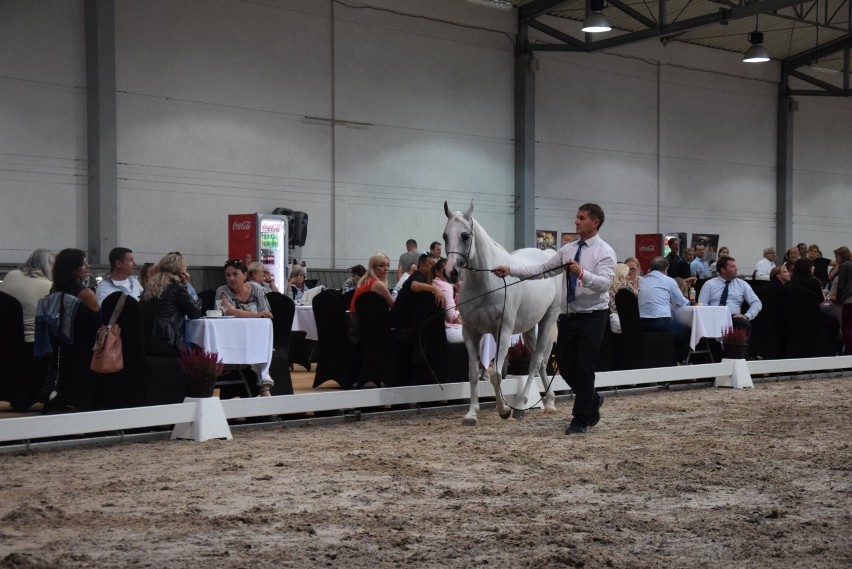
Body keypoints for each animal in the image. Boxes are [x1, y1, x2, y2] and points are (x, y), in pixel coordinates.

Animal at [442, 201, 564, 426]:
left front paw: (504, 410)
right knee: (541, 362)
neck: (486, 284)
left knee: (535, 362)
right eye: (445, 235)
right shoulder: (470, 333)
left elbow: (496, 374)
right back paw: (549, 402)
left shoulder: (503, 333)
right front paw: (471, 413)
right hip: (527, 329)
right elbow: (473, 373)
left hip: (547, 320)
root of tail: (549, 256)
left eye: (465, 235)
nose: (450, 272)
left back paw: (522, 405)